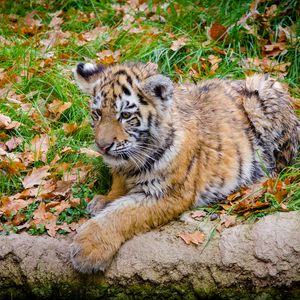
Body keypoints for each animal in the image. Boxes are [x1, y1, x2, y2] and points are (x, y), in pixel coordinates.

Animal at [69, 62, 298, 274]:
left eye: (125, 116)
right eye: (97, 113)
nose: (102, 146)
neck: (132, 161)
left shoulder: (169, 193)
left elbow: (123, 214)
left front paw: (87, 248)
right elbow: (117, 187)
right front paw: (105, 199)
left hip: (261, 93)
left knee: (278, 168)